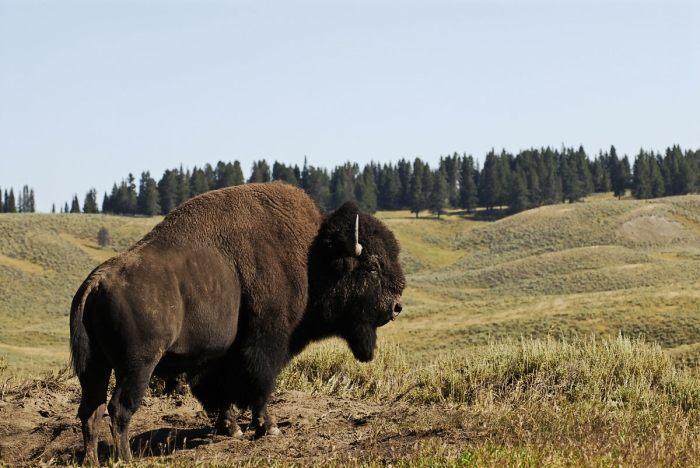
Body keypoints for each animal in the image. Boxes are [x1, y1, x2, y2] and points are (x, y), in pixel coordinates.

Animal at [70, 181, 404, 462]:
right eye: (373, 267)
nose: (396, 307)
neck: (312, 256)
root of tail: (96, 282)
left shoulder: (219, 355)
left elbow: (220, 390)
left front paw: (230, 428)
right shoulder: (266, 341)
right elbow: (259, 384)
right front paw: (268, 427)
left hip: (95, 366)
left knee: (91, 410)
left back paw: (92, 461)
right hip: (137, 366)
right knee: (119, 408)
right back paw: (125, 459)